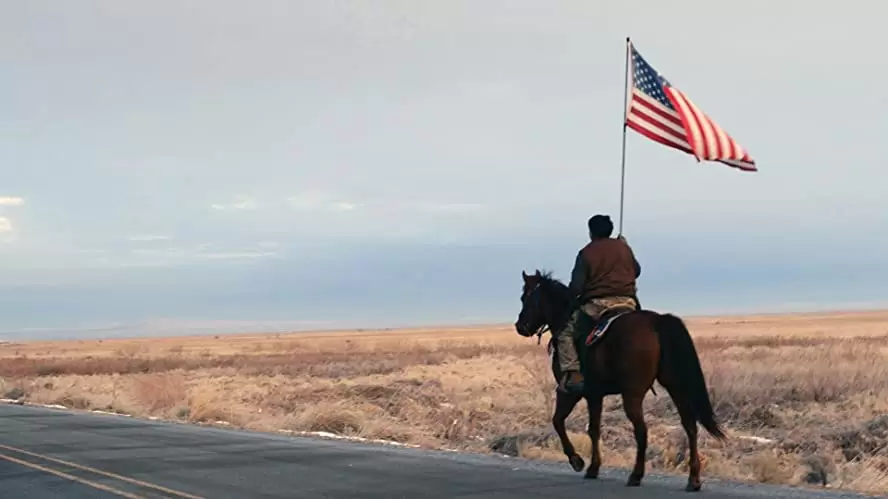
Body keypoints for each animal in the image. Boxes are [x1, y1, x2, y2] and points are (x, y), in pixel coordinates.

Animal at [512, 270, 728, 492]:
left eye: (525, 297)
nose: (520, 326)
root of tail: (657, 322)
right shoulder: (595, 395)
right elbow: (594, 429)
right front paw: (593, 467)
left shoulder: (568, 391)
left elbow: (558, 421)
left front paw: (577, 461)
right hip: (675, 386)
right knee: (690, 426)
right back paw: (693, 479)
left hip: (632, 394)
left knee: (642, 430)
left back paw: (636, 475)